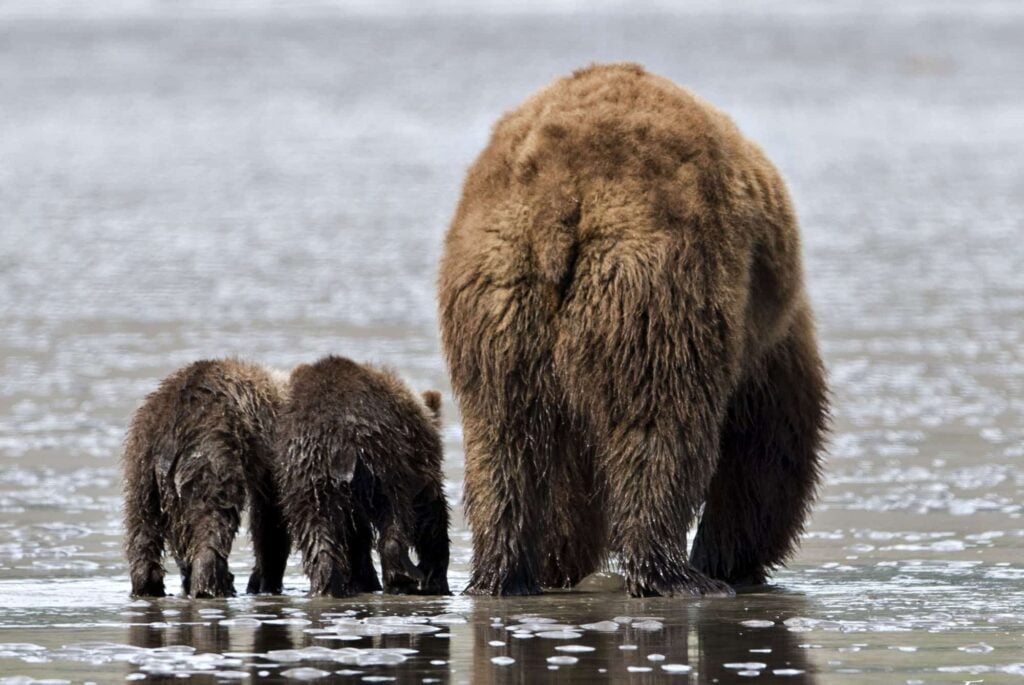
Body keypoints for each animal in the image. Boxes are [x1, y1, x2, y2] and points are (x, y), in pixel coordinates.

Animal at [122, 359, 291, 598]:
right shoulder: (270, 455)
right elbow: (271, 520)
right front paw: (266, 581)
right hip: (209, 456)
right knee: (212, 523)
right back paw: (212, 586)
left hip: (140, 470)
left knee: (142, 531)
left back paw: (149, 585)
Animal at [274, 355, 450, 597]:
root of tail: (342, 437)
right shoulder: (418, 465)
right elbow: (430, 513)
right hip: (383, 465)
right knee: (396, 514)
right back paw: (402, 577)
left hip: (308, 477)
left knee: (315, 528)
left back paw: (326, 585)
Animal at [438, 63, 828, 597]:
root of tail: (560, 197)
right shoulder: (765, 341)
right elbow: (767, 445)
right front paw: (733, 559)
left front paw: (559, 558)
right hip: (655, 279)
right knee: (659, 421)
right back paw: (676, 574)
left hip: (496, 290)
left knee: (503, 438)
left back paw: (501, 573)